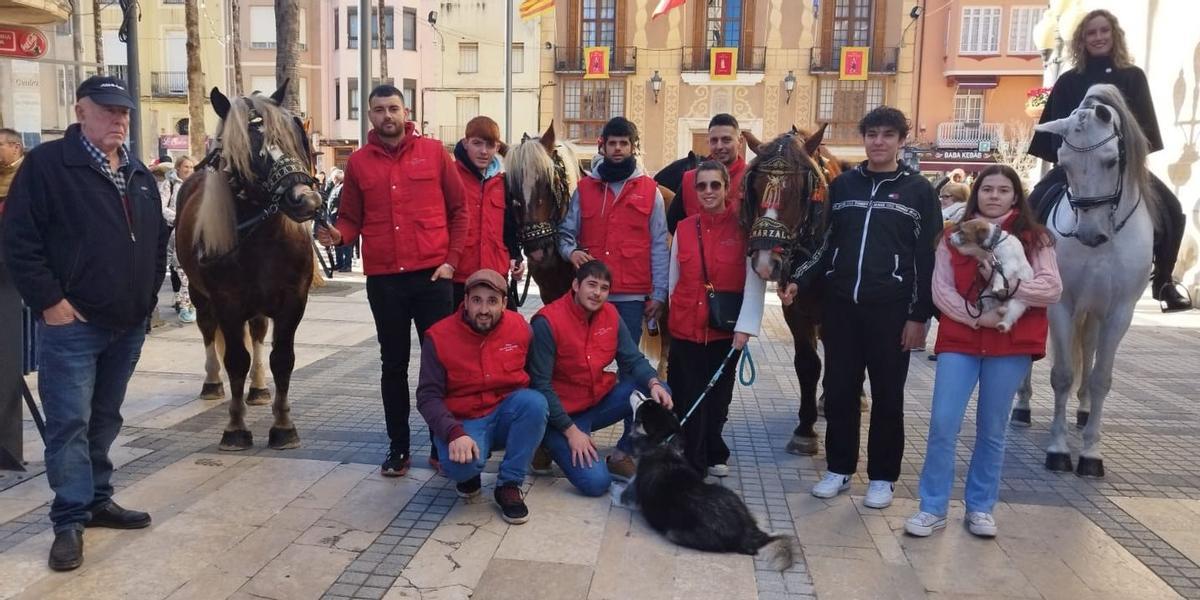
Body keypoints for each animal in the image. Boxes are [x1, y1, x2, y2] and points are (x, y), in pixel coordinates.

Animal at [174, 83, 324, 451]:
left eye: (293, 136)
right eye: (250, 148)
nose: (307, 199)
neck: (262, 238)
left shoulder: (293, 302)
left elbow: (282, 359)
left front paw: (283, 425)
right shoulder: (227, 302)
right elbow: (235, 360)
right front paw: (235, 427)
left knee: (256, 333)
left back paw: (257, 388)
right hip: (200, 294)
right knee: (207, 330)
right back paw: (213, 383)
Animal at [619, 391, 796, 568]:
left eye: (644, 403)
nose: (636, 391)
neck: (664, 444)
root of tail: (748, 533)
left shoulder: (631, 498)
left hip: (674, 533)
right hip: (730, 494)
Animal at [734, 126, 840, 453]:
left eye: (798, 191)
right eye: (755, 188)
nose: (765, 263)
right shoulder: (795, 311)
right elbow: (807, 364)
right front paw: (805, 429)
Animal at [1027, 84, 1156, 477]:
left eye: (1111, 161)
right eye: (1064, 163)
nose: (1089, 233)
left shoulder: (1120, 311)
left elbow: (1101, 378)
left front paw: (1090, 453)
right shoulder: (1062, 303)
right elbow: (1062, 374)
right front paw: (1057, 450)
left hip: (1097, 311)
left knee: (1090, 349)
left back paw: (1083, 413)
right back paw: (1022, 406)